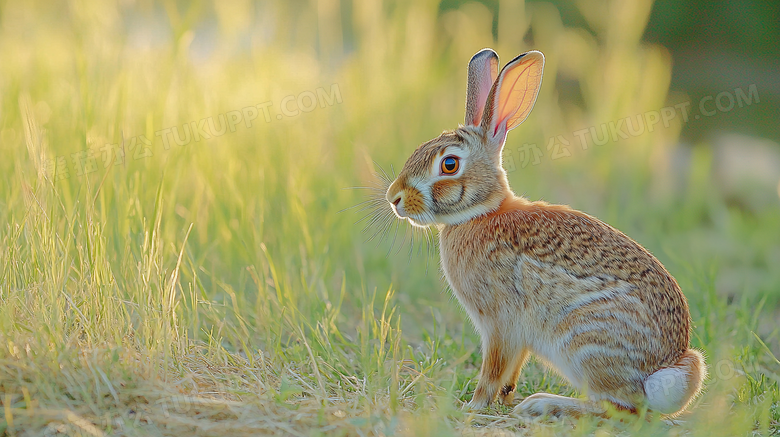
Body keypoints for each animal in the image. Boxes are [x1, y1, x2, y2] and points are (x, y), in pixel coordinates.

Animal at [384, 49, 708, 418]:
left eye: (449, 165)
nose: (394, 198)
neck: (482, 212)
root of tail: (667, 369)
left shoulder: (500, 324)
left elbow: (493, 368)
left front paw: (474, 405)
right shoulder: (516, 336)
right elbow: (511, 369)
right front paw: (504, 398)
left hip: (582, 339)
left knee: (619, 406)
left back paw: (543, 404)